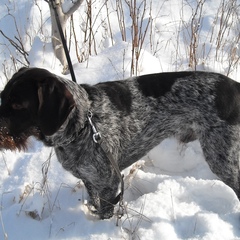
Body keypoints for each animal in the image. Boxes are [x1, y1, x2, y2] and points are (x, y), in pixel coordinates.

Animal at [0, 66, 240, 219]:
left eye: (19, 105)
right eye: (3, 97)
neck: (84, 123)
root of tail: (235, 86)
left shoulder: (109, 182)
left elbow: (105, 212)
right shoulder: (90, 179)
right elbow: (95, 203)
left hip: (223, 160)